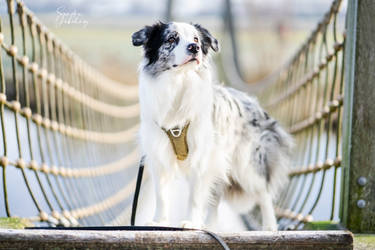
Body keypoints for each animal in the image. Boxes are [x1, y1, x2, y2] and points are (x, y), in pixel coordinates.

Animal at [132, 22, 294, 230]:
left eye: (196, 39)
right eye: (171, 38)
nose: (195, 48)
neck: (179, 83)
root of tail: (255, 104)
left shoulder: (201, 157)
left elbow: (195, 197)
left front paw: (191, 223)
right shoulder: (158, 154)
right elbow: (161, 196)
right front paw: (159, 221)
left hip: (247, 163)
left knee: (263, 193)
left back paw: (269, 227)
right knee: (215, 197)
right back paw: (210, 226)